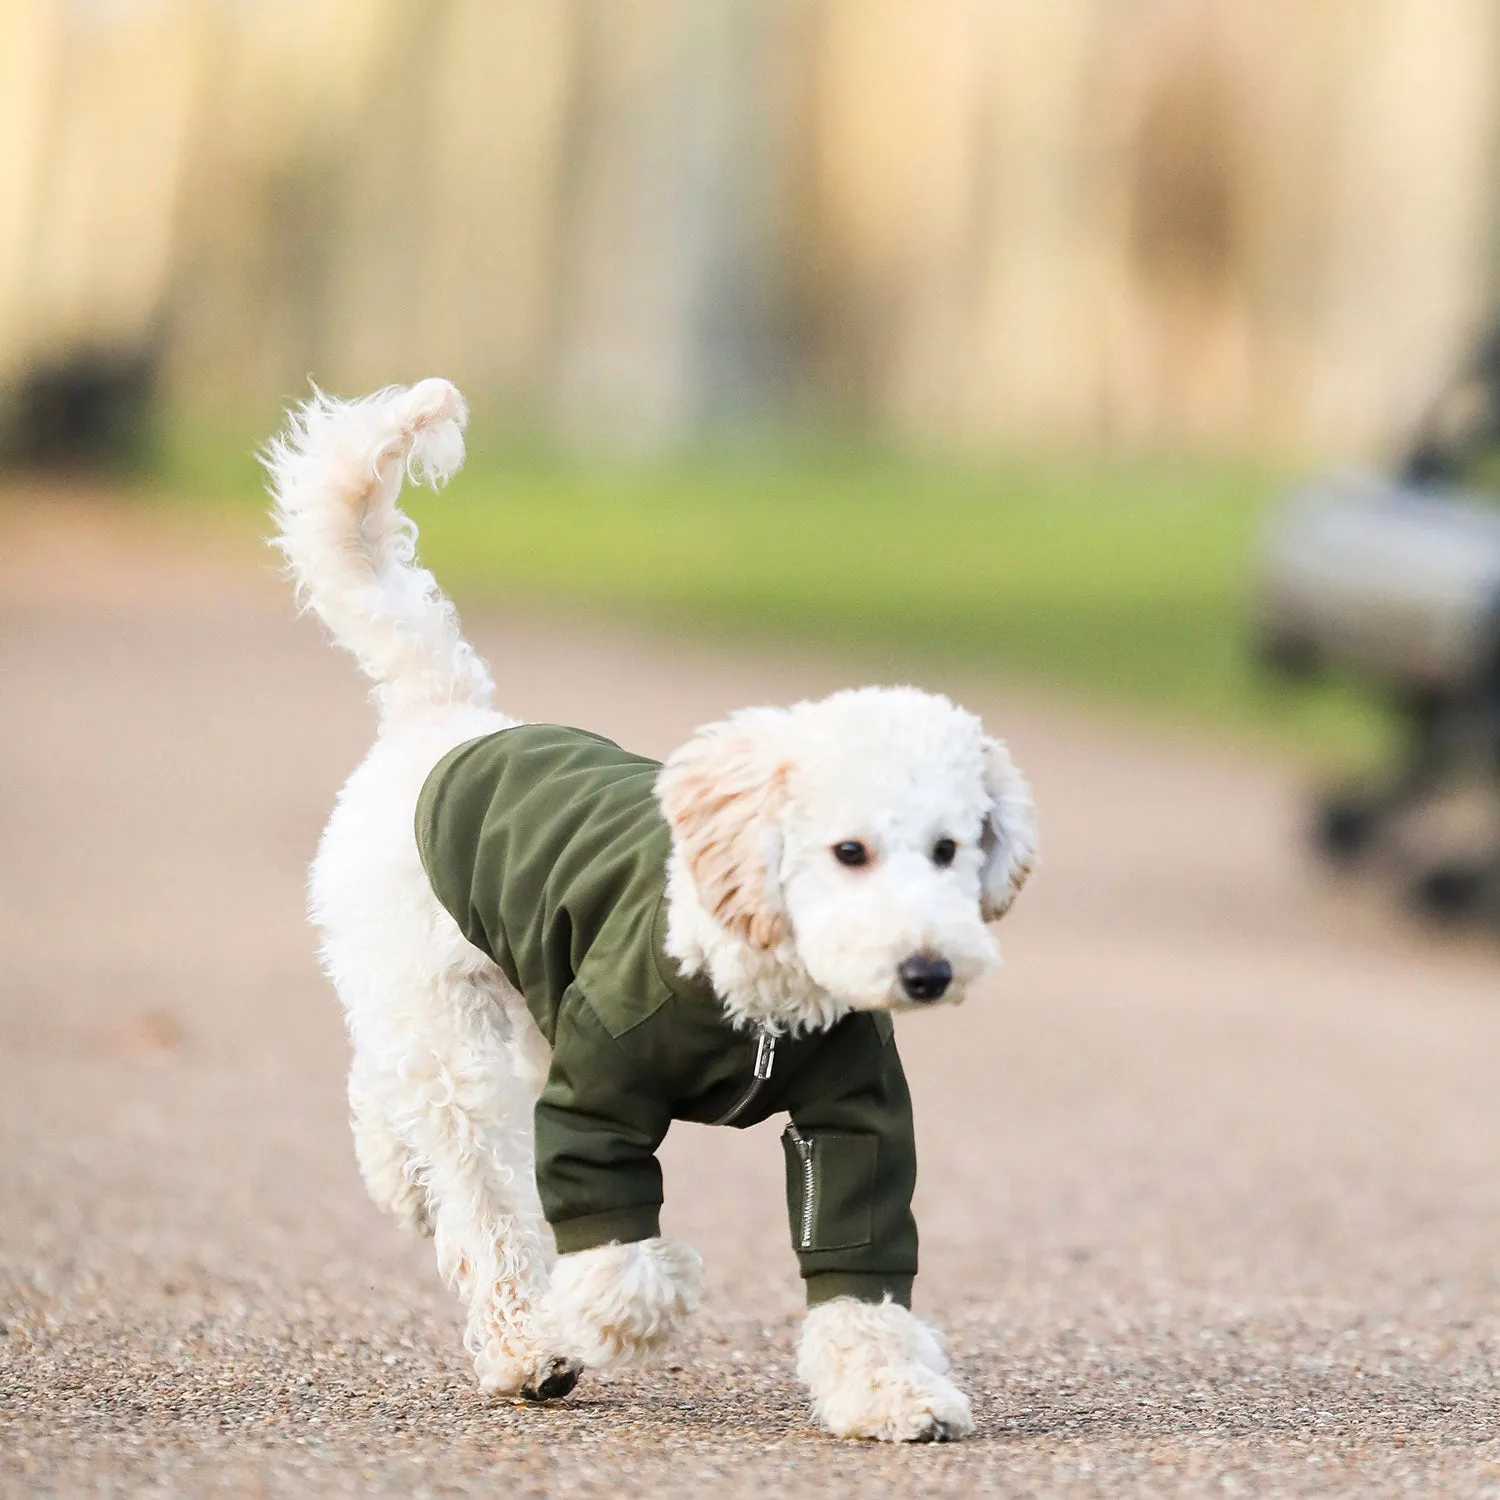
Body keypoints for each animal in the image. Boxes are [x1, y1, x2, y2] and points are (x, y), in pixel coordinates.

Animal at [264, 375, 1032, 1440]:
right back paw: (523, 1341)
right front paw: (623, 1313)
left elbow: (859, 1267)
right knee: (473, 1185)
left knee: (385, 1091)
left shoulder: (855, 1121)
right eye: (849, 851)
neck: (758, 990)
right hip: (442, 1016)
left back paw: (403, 1187)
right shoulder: (596, 1088)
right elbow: (618, 1248)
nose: (929, 971)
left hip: (507, 1000)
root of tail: (447, 718)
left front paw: (892, 1392)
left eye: (951, 849)